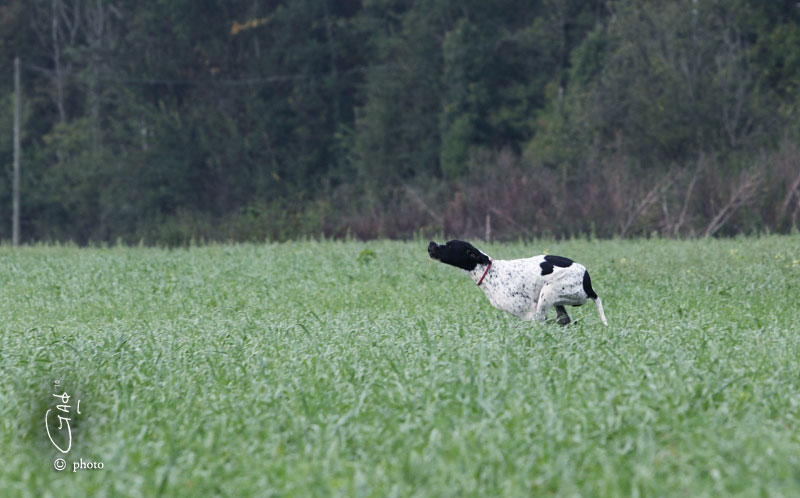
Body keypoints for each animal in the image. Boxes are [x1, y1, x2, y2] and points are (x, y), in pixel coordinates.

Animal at [432, 240, 608, 326]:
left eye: (448, 245)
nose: (430, 244)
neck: (489, 271)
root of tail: (587, 282)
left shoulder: (529, 312)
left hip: (548, 292)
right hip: (557, 302)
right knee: (564, 320)